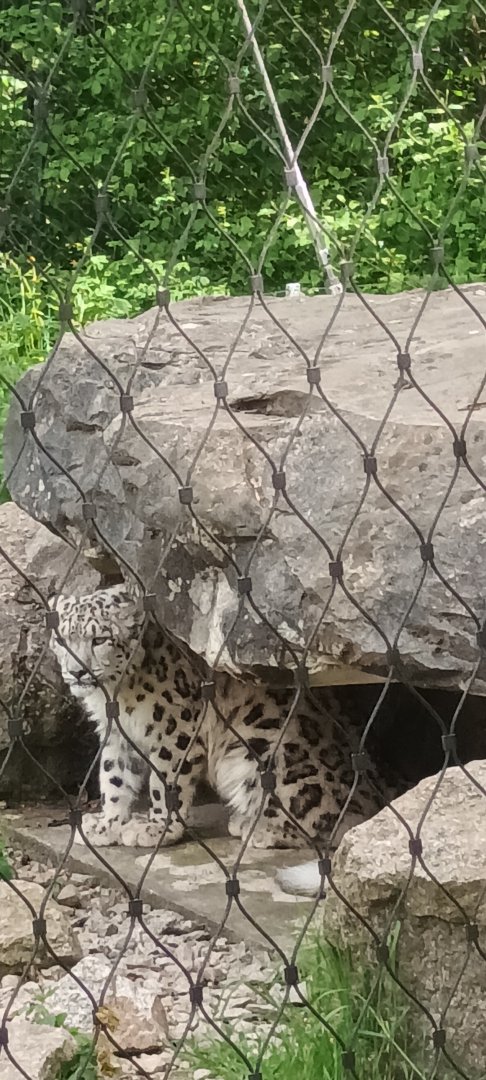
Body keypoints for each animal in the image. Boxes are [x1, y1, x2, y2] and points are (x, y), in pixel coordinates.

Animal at [49, 583, 394, 894]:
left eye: (100, 639)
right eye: (63, 640)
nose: (76, 672)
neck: (115, 695)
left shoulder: (175, 729)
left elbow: (163, 783)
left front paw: (157, 828)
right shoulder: (118, 735)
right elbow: (114, 776)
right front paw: (107, 822)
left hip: (263, 755)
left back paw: (259, 828)